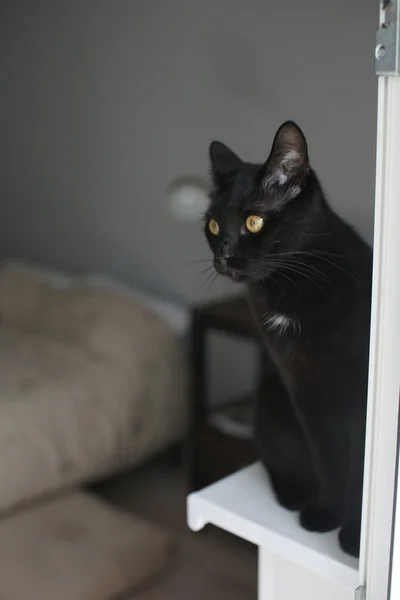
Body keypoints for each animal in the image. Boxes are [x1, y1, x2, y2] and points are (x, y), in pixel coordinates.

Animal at [205, 122, 374, 556]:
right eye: (213, 226)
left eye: (253, 222)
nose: (224, 255)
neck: (289, 289)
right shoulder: (305, 392)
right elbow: (328, 460)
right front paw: (326, 515)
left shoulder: (361, 401)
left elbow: (358, 474)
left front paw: (353, 538)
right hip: (270, 395)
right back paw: (296, 496)